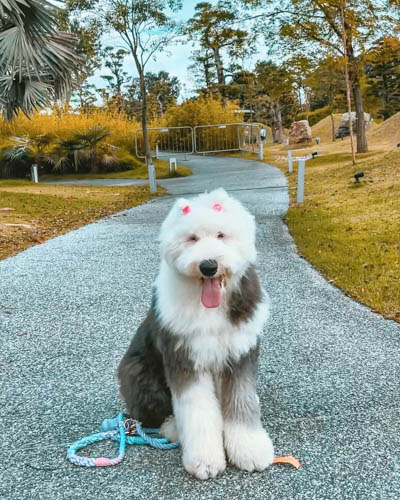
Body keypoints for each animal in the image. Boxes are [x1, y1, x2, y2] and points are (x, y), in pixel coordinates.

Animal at [118, 188, 276, 480]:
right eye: (192, 238)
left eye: (221, 235)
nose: (208, 265)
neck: (211, 306)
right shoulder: (185, 358)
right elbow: (197, 412)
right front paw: (205, 460)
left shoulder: (239, 354)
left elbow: (241, 401)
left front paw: (249, 450)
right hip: (138, 373)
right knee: (154, 415)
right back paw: (172, 429)